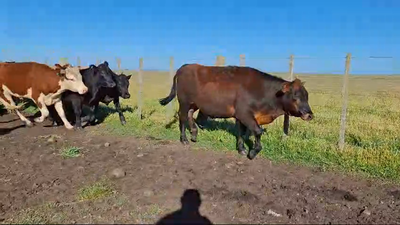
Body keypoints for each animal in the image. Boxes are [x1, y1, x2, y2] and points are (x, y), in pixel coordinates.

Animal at [159, 63, 312, 160]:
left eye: (307, 96)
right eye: (295, 96)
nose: (309, 114)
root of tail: (183, 67)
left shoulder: (240, 116)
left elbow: (241, 133)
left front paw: (241, 149)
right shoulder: (245, 114)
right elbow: (257, 131)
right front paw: (252, 152)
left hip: (194, 103)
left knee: (190, 115)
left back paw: (194, 134)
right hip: (184, 102)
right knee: (182, 117)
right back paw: (184, 139)